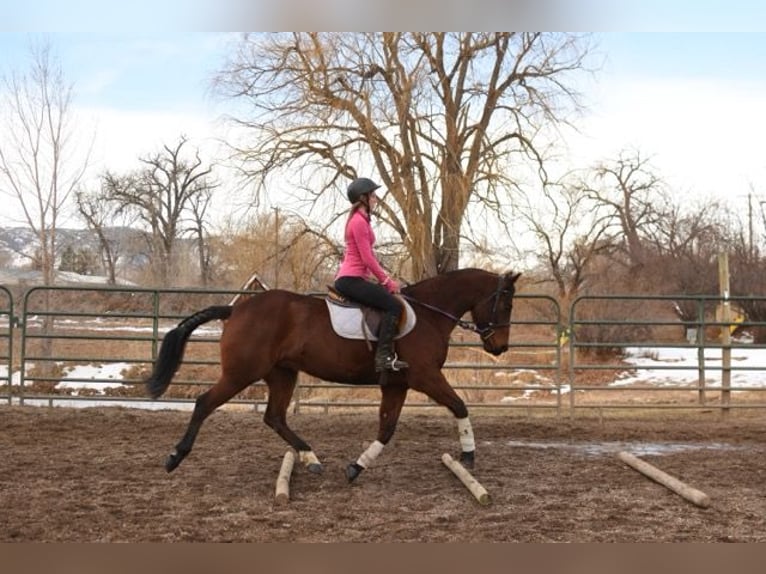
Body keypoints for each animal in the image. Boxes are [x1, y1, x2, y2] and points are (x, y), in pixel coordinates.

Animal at [144, 268, 520, 484]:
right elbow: (459, 406)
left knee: (274, 417)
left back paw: (311, 459)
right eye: (506, 304)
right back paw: (174, 458)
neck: (428, 314)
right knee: (204, 403)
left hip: (282, 374)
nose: (500, 347)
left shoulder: (397, 384)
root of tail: (235, 309)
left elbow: (386, 429)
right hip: (242, 373)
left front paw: (356, 467)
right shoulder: (425, 377)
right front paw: (468, 456)